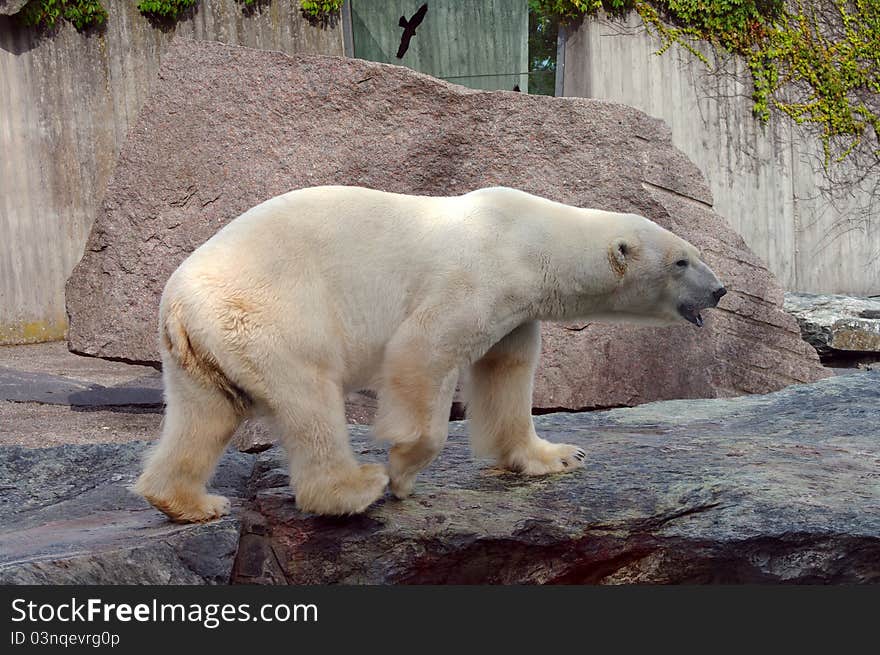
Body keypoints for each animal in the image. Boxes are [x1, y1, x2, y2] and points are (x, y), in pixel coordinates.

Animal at [134, 186, 724, 524]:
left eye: (695, 254)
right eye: (681, 261)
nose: (720, 290)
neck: (531, 239)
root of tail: (177, 303)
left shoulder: (516, 309)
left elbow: (507, 375)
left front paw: (557, 455)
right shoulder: (477, 276)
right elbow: (423, 350)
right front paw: (401, 472)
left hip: (206, 345)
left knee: (205, 414)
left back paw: (189, 502)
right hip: (270, 313)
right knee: (309, 395)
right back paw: (354, 488)